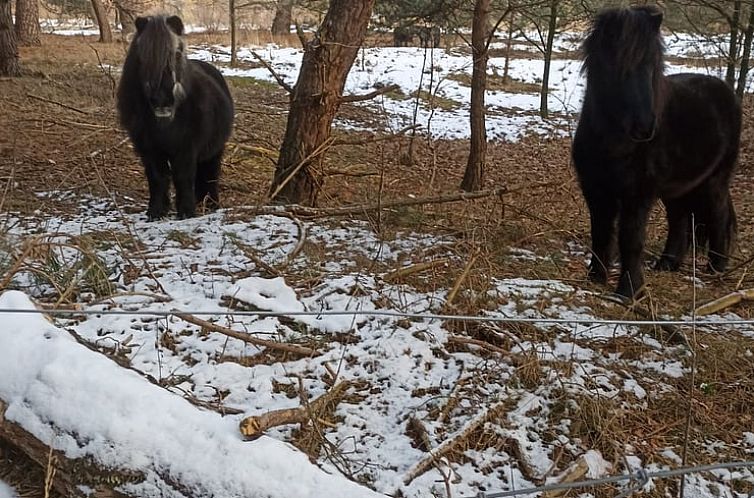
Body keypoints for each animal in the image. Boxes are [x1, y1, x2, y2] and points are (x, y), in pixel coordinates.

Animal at [117, 15, 232, 219]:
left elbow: (183, 176)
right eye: (143, 55)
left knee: (211, 175)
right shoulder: (149, 149)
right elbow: (157, 178)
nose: (162, 99)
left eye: (177, 53)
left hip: (215, 150)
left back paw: (211, 205)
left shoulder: (186, 148)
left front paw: (186, 212)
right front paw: (156, 211)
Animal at [572, 5, 736, 298]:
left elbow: (631, 239)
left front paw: (629, 290)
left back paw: (716, 269)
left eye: (650, 66)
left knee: (719, 215)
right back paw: (667, 264)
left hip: (715, 180)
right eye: (618, 67)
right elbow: (600, 233)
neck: (615, 144)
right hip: (678, 188)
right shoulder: (595, 190)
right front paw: (595, 279)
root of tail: (726, 92)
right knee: (679, 221)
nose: (645, 127)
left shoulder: (638, 194)